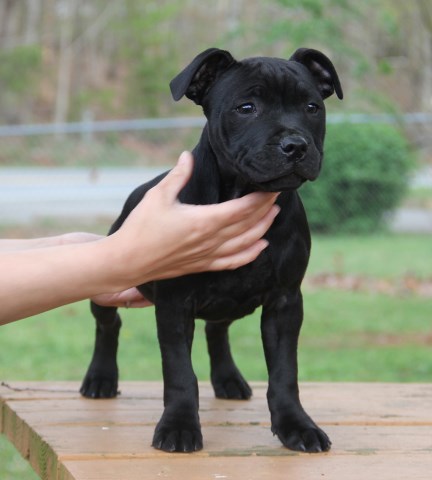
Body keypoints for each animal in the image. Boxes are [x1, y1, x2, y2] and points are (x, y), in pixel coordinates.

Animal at [80, 47, 344, 454]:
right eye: (246, 107)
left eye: (312, 107)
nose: (296, 145)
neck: (241, 194)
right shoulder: (174, 304)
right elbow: (179, 373)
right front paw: (178, 427)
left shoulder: (285, 302)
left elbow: (285, 373)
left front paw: (297, 426)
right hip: (109, 279)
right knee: (108, 324)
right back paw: (100, 378)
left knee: (216, 331)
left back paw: (228, 379)